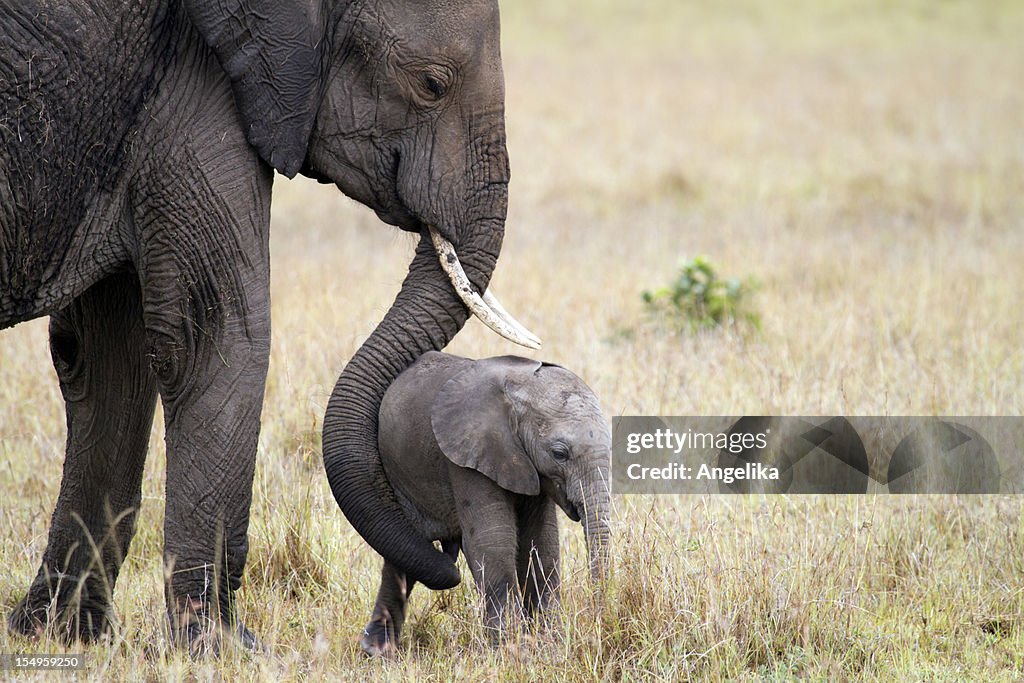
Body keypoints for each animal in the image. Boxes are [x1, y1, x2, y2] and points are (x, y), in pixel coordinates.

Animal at [0, 0, 540, 651]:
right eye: (432, 85)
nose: (447, 558)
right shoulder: (196, 79)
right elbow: (219, 332)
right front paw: (220, 645)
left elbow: (107, 354)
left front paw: (58, 637)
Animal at [360, 350, 606, 655]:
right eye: (559, 454)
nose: (597, 621)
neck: (519, 389)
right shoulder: (468, 456)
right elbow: (493, 542)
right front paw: (512, 651)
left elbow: (541, 544)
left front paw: (549, 644)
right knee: (404, 550)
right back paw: (377, 651)